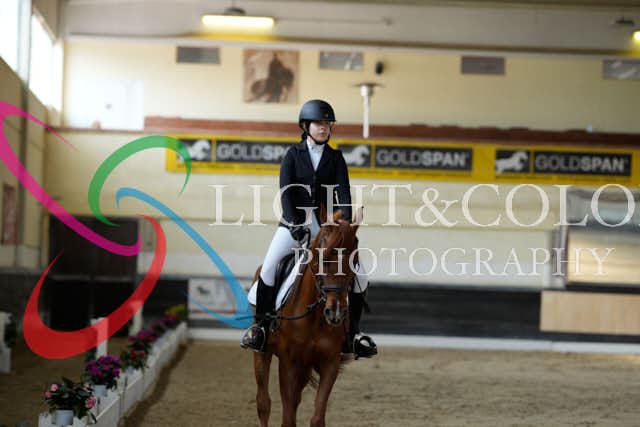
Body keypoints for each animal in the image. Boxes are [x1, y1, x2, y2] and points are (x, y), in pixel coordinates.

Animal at [252, 206, 363, 427]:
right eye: (322, 258)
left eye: (353, 261)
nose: (336, 312)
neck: (315, 317)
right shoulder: (289, 361)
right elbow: (287, 419)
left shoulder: (330, 361)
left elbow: (317, 418)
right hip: (262, 351)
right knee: (263, 403)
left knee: (294, 400)